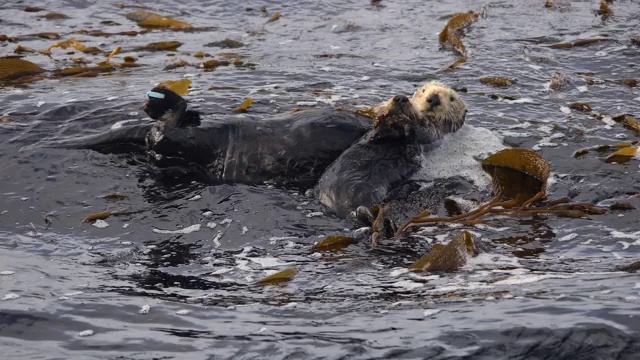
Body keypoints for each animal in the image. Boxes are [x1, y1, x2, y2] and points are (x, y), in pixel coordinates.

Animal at [318, 81, 464, 217]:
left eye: (452, 98)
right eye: (423, 90)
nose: (433, 98)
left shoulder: (436, 131)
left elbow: (424, 133)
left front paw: (406, 122)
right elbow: (375, 133)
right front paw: (385, 117)